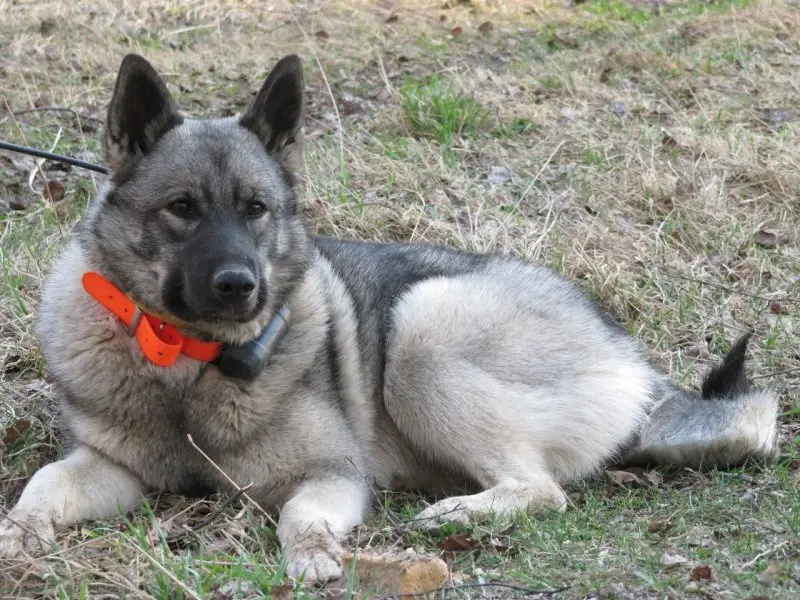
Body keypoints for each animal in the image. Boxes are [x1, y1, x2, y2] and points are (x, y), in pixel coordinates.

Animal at [0, 55, 780, 580]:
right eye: (182, 208)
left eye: (256, 208)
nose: (241, 286)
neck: (185, 368)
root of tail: (633, 361)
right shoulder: (107, 469)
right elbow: (41, 488)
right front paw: (16, 535)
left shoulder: (336, 473)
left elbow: (300, 515)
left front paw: (313, 554)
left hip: (421, 334)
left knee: (543, 489)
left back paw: (460, 510)